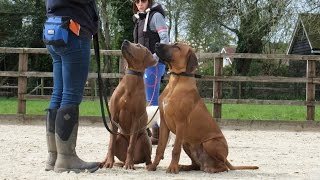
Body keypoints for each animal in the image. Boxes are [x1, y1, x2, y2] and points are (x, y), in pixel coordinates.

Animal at [101, 40, 158, 169]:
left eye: (138, 45)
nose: (125, 41)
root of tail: (137, 160)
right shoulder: (114, 117)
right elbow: (110, 144)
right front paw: (108, 162)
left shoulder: (136, 119)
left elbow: (131, 145)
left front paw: (128, 164)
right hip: (119, 136)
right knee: (113, 143)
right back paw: (108, 162)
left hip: (145, 138)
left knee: (147, 157)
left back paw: (142, 164)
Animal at [146, 42, 258, 173]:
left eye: (177, 47)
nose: (157, 44)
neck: (176, 82)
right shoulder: (164, 123)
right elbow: (160, 148)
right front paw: (153, 166)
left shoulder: (180, 123)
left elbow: (175, 150)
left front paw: (172, 168)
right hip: (186, 142)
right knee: (196, 165)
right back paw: (184, 166)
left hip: (209, 143)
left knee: (223, 166)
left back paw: (210, 168)